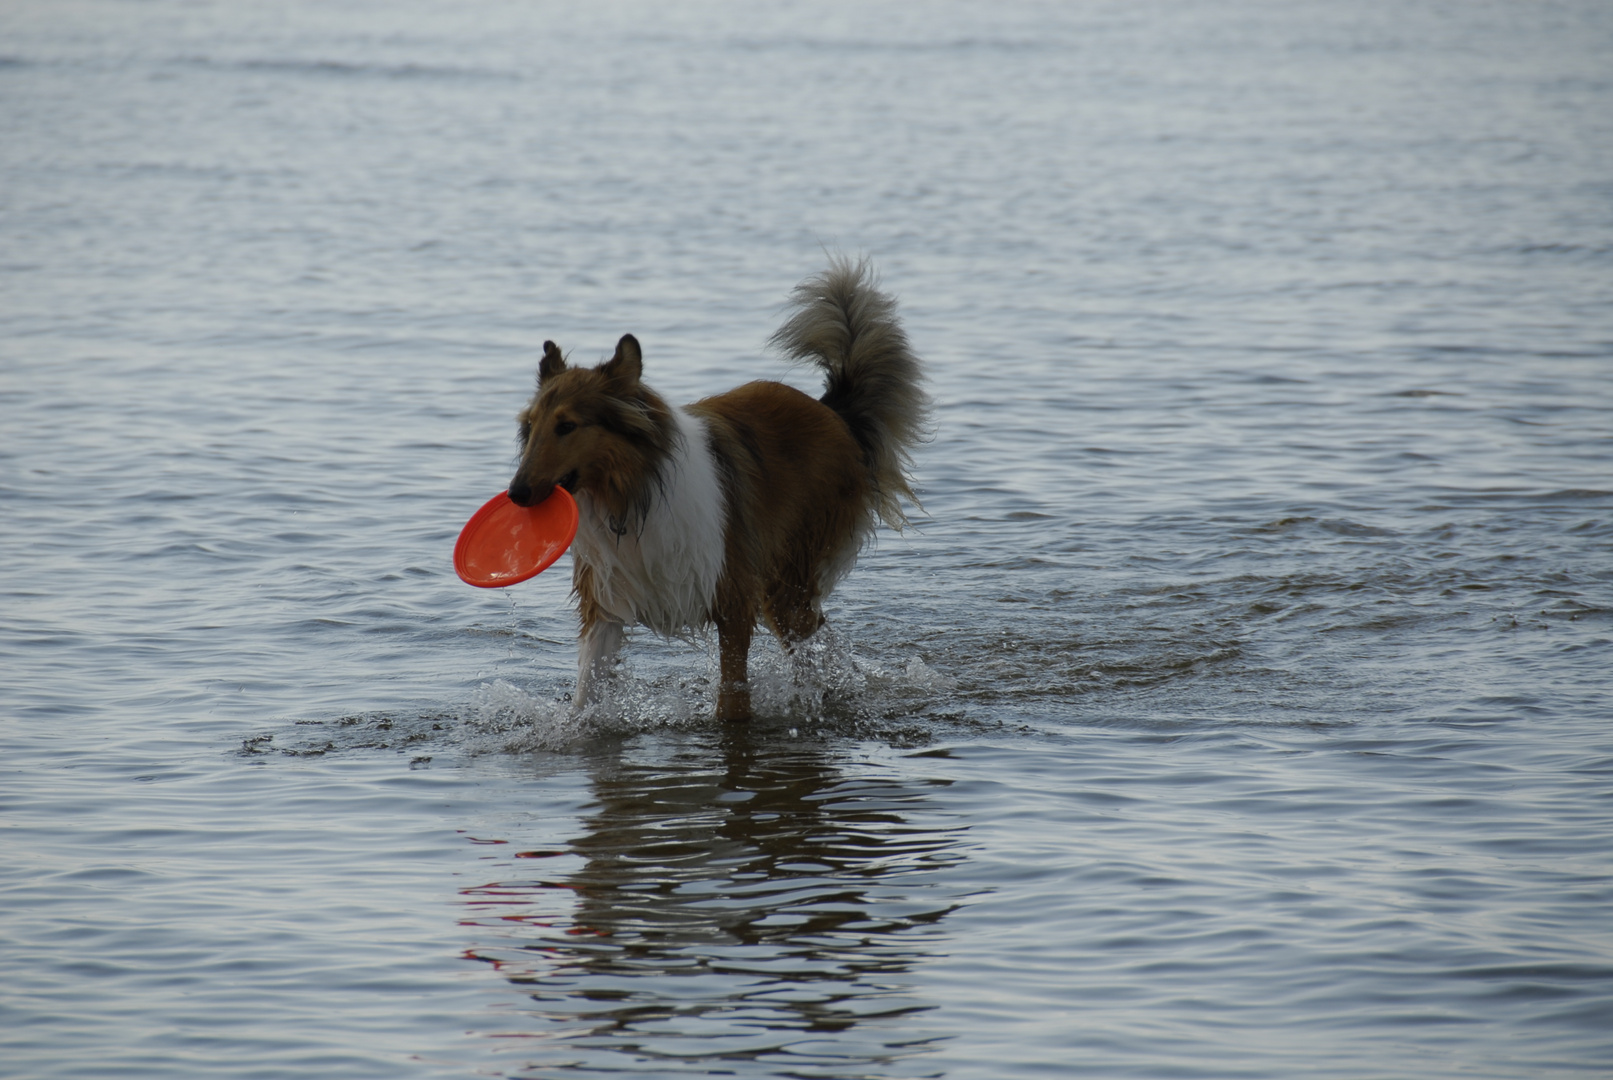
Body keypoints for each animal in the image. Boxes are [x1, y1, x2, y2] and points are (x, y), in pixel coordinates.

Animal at [509, 257, 929, 722]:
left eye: (567, 426)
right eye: (531, 426)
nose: (516, 495)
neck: (633, 495)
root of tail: (832, 411)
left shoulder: (732, 599)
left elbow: (732, 699)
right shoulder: (605, 607)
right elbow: (587, 693)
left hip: (787, 582)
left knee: (812, 639)